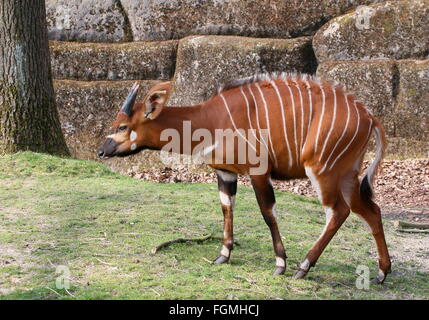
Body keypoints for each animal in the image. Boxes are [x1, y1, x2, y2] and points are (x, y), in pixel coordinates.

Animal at [99, 74, 392, 284]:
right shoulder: (225, 172)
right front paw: (222, 256)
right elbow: (226, 207)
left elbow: (267, 212)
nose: (101, 151)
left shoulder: (258, 170)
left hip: (323, 170)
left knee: (338, 211)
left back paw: (303, 267)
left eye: (123, 126)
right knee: (371, 210)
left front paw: (280, 264)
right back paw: (382, 272)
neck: (210, 119)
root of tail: (369, 117)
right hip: (347, 174)